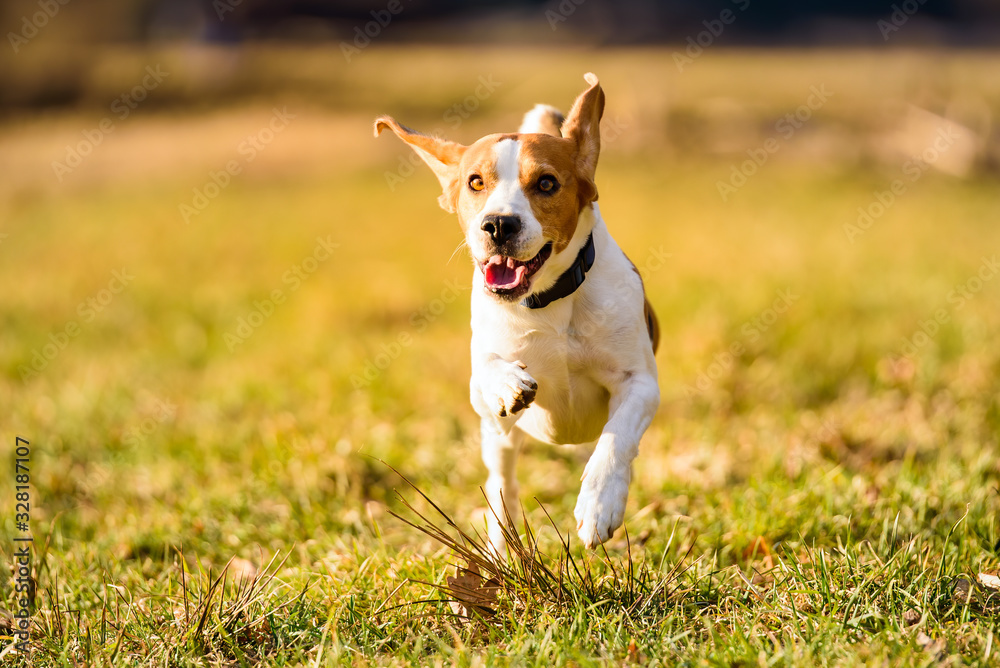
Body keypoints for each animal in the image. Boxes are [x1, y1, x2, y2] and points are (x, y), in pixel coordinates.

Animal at [372, 74, 660, 552]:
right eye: (475, 182)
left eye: (546, 183)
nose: (498, 224)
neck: (550, 301)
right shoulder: (481, 373)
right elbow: (488, 365)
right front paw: (509, 381)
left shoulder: (639, 383)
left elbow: (615, 439)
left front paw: (599, 505)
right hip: (498, 437)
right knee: (502, 482)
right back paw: (501, 544)